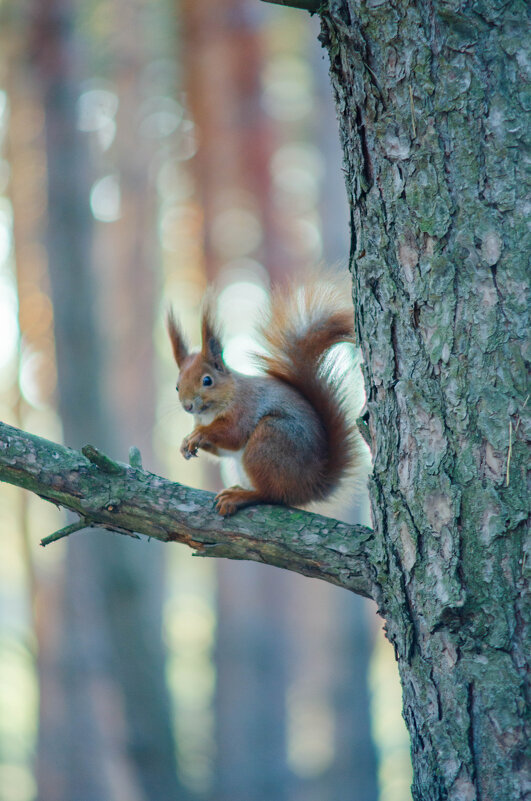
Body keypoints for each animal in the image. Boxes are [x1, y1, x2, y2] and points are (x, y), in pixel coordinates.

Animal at [168, 280, 364, 520]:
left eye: (207, 380)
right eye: (177, 386)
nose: (188, 406)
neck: (210, 413)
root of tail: (311, 485)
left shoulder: (245, 408)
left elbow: (233, 434)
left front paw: (199, 435)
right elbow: (222, 450)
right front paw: (186, 441)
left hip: (268, 441)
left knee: (273, 495)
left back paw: (240, 496)